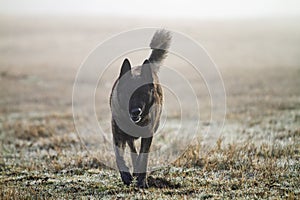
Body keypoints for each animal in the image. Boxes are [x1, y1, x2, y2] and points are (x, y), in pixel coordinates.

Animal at [109, 29, 171, 188]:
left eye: (143, 93)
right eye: (127, 92)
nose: (135, 111)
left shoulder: (148, 134)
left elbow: (144, 157)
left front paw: (142, 181)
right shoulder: (117, 133)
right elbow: (118, 155)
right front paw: (125, 175)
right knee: (131, 146)